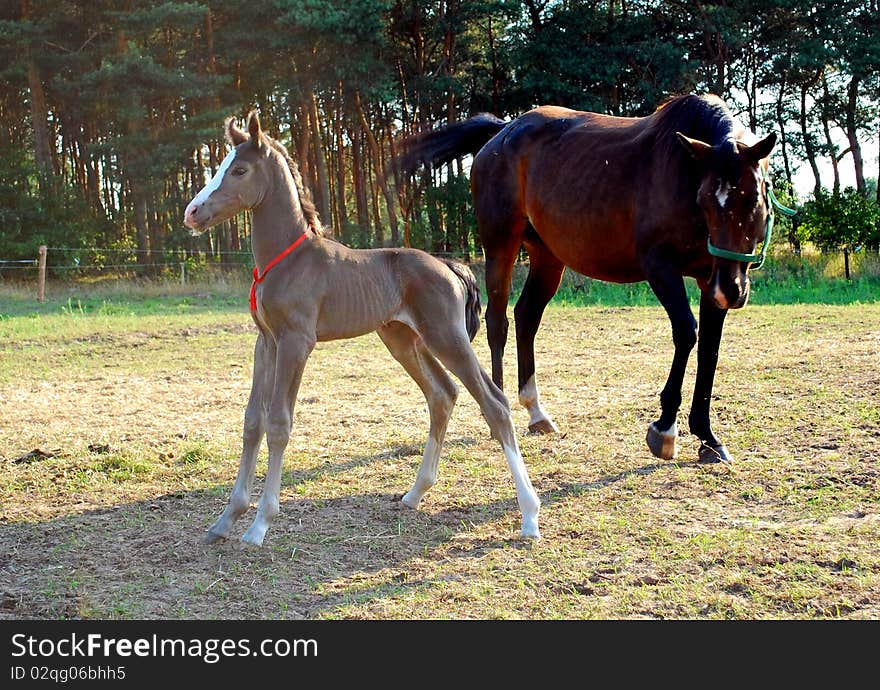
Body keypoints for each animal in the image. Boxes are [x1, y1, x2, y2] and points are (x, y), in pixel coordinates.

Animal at [182, 111, 540, 544]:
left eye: (239, 170)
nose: (192, 212)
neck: (289, 260)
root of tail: (449, 265)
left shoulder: (296, 342)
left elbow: (279, 423)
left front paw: (260, 524)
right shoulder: (265, 342)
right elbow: (253, 421)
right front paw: (225, 520)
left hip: (446, 337)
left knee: (494, 404)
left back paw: (529, 515)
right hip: (404, 340)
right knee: (443, 395)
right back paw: (415, 493)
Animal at [398, 92, 776, 462]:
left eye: (755, 197)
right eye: (705, 199)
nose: (732, 291)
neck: (683, 171)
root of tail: (503, 131)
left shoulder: (709, 278)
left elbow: (710, 349)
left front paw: (707, 436)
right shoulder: (660, 266)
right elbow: (686, 333)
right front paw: (664, 430)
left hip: (547, 257)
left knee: (527, 316)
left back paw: (536, 412)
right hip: (500, 244)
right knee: (498, 322)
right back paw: (498, 410)